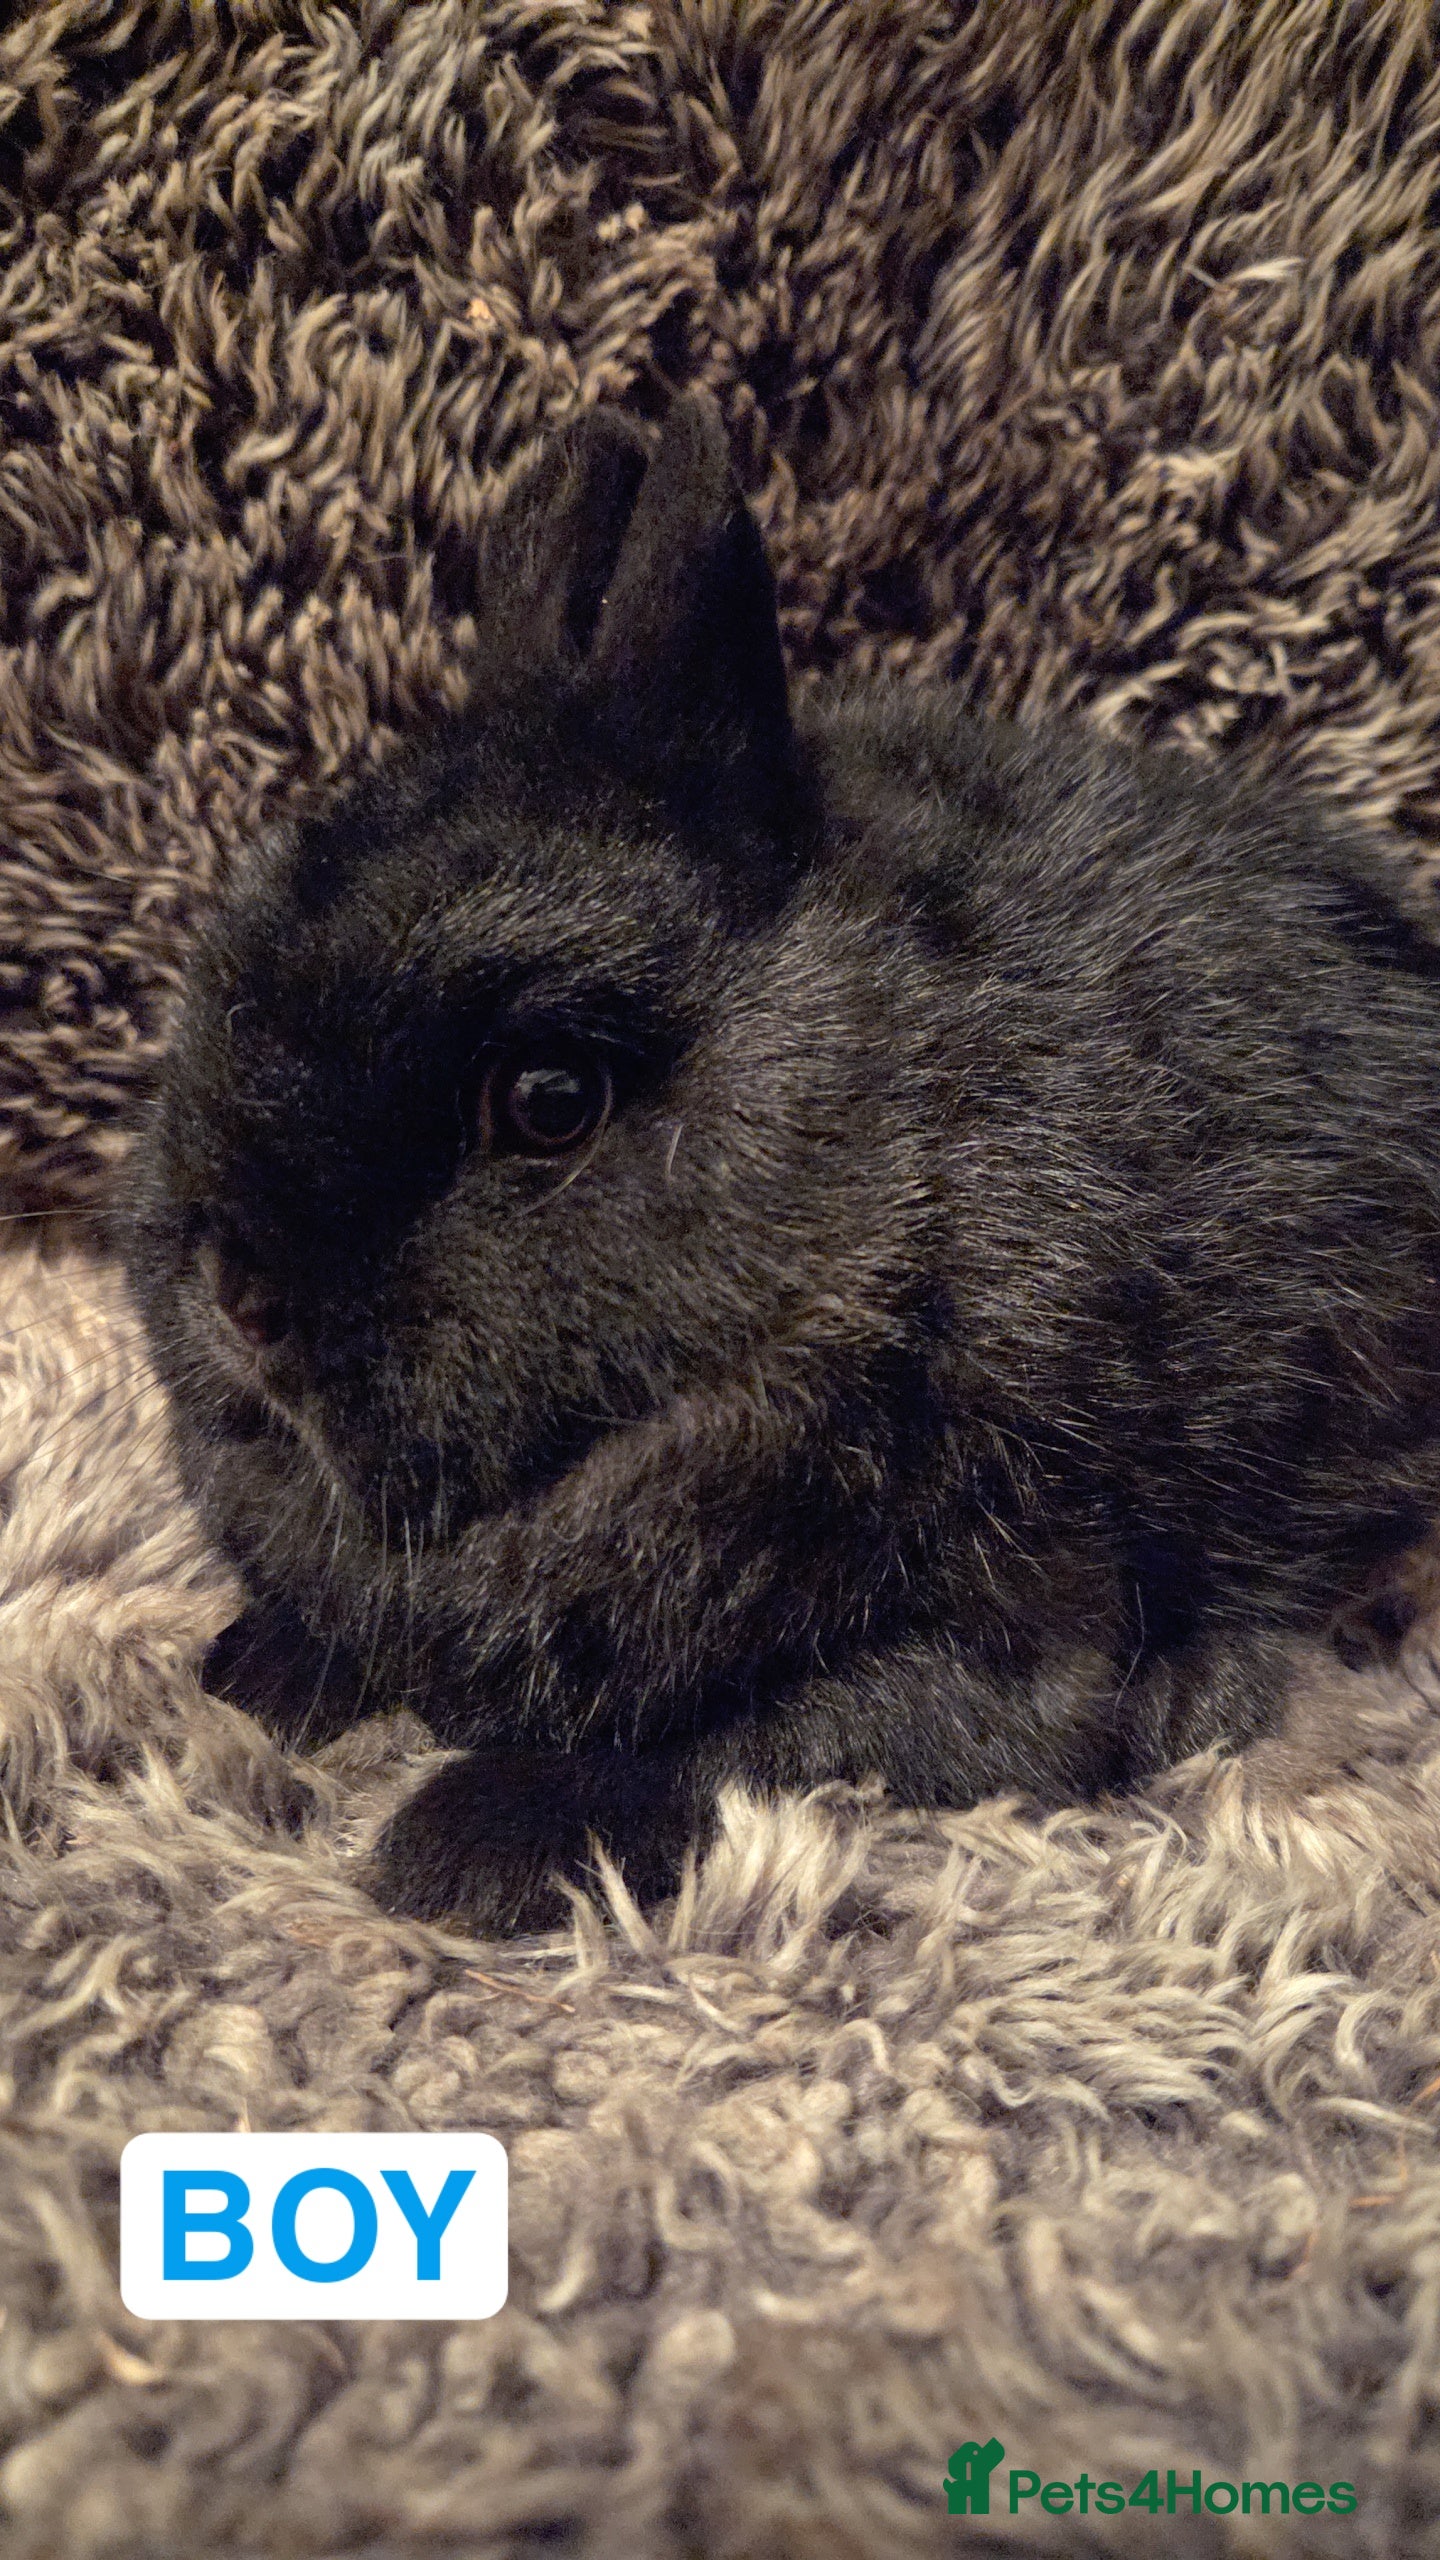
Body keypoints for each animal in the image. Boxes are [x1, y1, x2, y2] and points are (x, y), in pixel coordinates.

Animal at [122, 389, 1440, 1935]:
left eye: (550, 1097)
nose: (237, 1293)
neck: (890, 1203)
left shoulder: (1020, 1630)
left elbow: (753, 1738)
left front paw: (472, 1842)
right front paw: (258, 1672)